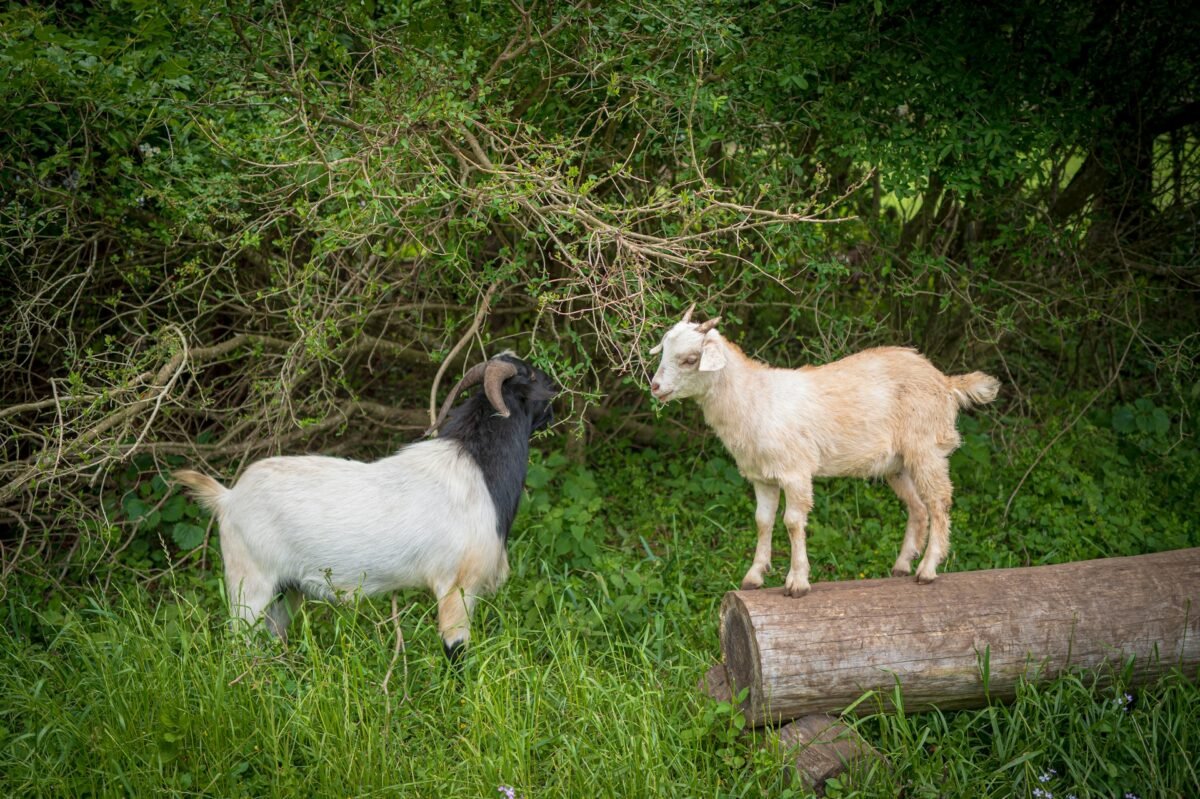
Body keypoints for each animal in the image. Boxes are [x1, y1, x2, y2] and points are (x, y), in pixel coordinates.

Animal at [174, 353, 558, 659]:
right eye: (532, 377)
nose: (557, 393)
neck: (477, 469)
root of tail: (227, 498)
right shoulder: (457, 589)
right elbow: (456, 653)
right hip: (249, 585)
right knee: (240, 646)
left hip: (286, 592)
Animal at [649, 305, 999, 596]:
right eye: (664, 350)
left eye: (690, 359)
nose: (655, 387)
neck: (754, 399)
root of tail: (946, 382)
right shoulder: (761, 476)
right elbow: (763, 520)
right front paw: (754, 576)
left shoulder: (795, 471)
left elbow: (792, 521)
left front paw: (797, 581)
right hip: (898, 464)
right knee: (918, 507)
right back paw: (902, 566)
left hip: (926, 448)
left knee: (939, 502)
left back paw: (927, 569)